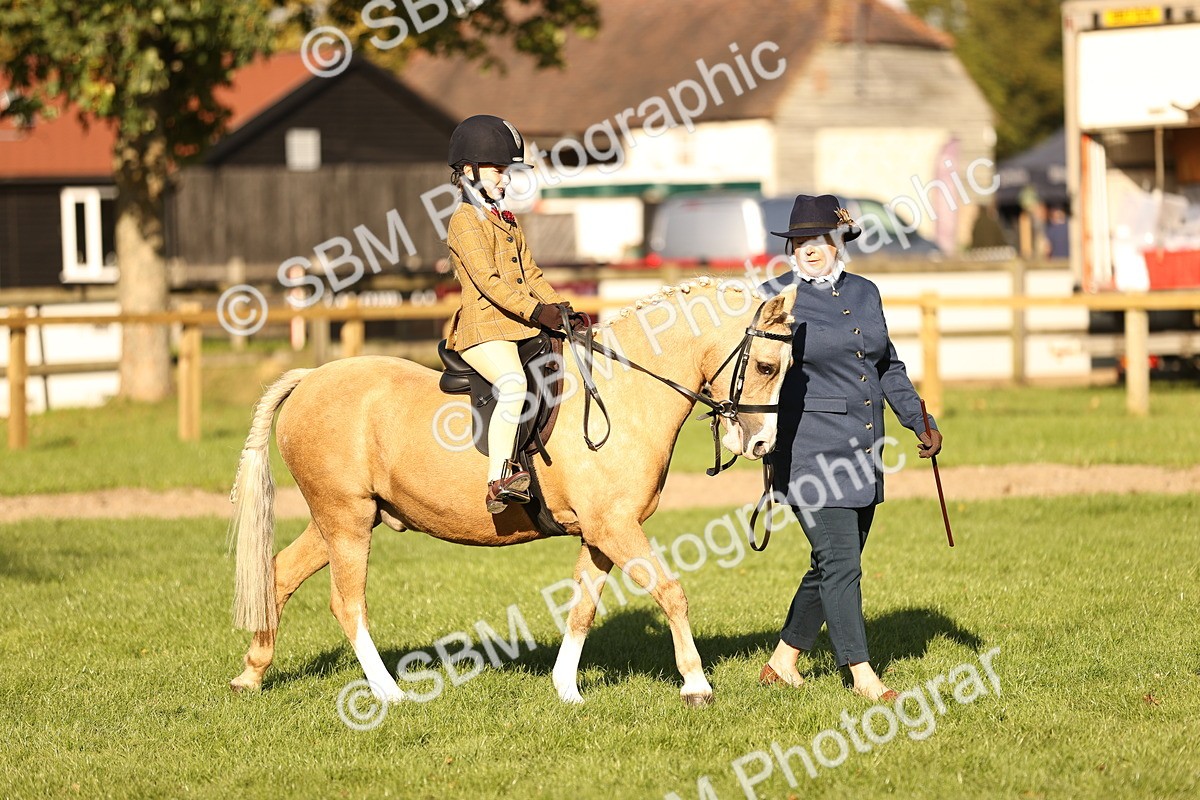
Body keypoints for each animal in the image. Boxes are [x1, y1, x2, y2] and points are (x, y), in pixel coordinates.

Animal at [228, 277, 797, 707]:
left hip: (341, 520)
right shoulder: (615, 526)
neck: (624, 391)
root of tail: (309, 379)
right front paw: (696, 684)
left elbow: (582, 609)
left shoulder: (599, 533)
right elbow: (671, 591)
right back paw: (389, 693)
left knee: (278, 575)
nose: (762, 443)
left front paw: (567, 690)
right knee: (348, 604)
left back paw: (252, 674)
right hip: (345, 521)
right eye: (766, 366)